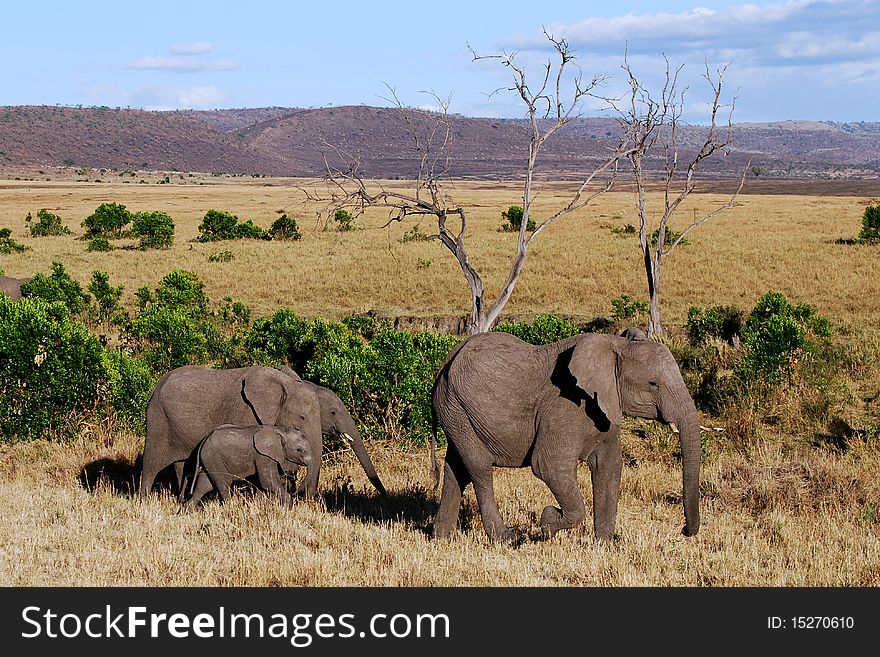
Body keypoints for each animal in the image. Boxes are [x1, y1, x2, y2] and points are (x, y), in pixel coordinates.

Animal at [140, 364, 382, 498]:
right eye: (332, 412)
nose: (303, 495)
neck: (287, 384)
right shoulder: (248, 412)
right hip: (157, 419)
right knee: (151, 465)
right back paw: (144, 502)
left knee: (183, 465)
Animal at [182, 422, 312, 510]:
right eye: (299, 450)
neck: (280, 430)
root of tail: (204, 439)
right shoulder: (262, 455)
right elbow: (266, 481)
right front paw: (288, 508)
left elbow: (261, 484)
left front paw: (258, 506)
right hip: (213, 457)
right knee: (223, 484)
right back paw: (230, 508)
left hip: (209, 459)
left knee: (204, 485)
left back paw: (187, 511)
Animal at [428, 334, 700, 544]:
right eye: (653, 383)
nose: (684, 530)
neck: (616, 344)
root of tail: (446, 360)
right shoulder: (564, 406)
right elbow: (549, 467)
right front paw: (547, 520)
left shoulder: (606, 407)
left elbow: (609, 468)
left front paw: (604, 546)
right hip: (456, 407)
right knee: (479, 468)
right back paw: (507, 539)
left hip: (454, 412)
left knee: (457, 468)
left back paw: (442, 538)